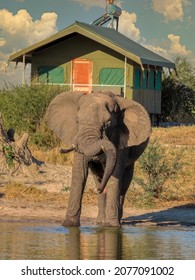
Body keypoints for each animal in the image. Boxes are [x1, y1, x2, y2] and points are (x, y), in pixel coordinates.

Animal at [45, 92, 151, 228]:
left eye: (108, 123)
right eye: (77, 121)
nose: (60, 150)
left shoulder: (120, 139)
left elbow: (115, 175)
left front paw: (112, 227)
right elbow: (79, 172)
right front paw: (69, 225)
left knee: (124, 183)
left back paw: (117, 220)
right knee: (98, 177)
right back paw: (100, 220)